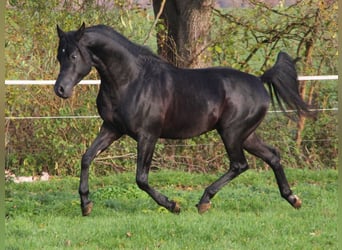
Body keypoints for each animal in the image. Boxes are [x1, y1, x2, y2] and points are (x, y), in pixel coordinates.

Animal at [54, 22, 312, 216]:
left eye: (74, 55)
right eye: (59, 56)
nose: (61, 89)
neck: (132, 81)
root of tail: (260, 80)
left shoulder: (148, 135)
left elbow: (141, 178)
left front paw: (173, 205)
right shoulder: (111, 128)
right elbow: (87, 158)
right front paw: (86, 205)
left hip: (231, 133)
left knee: (240, 164)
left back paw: (204, 201)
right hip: (246, 135)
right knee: (272, 156)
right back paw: (293, 198)